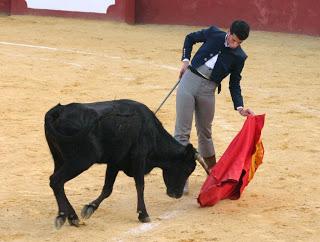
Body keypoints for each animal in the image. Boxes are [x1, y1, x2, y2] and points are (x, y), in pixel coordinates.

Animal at [43, 99, 206, 228]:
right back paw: (64, 216)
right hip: (80, 160)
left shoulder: (114, 163)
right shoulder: (139, 158)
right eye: (187, 169)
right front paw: (143, 214)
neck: (152, 132)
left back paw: (72, 217)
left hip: (59, 158)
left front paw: (90, 208)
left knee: (58, 183)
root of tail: (58, 111)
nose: (177, 195)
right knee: (56, 180)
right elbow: (140, 185)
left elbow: (107, 189)